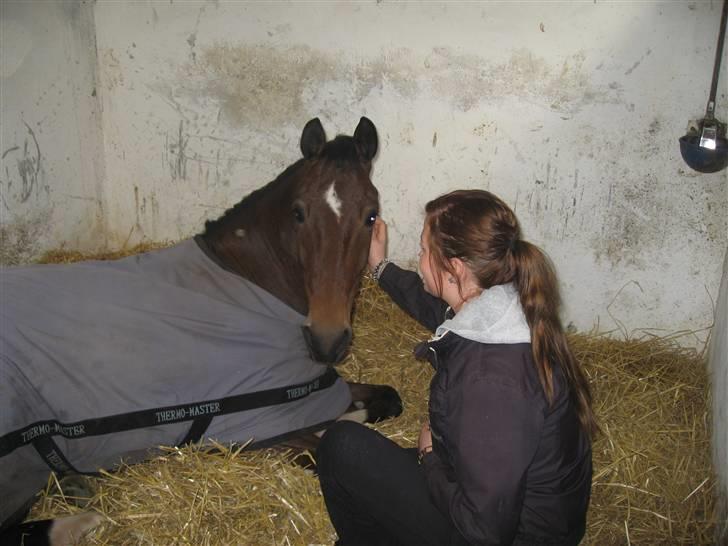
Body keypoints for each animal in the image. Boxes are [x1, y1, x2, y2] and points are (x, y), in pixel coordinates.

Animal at [0, 117, 404, 540]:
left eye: (371, 216)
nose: (327, 340)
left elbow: (387, 399)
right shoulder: (259, 425)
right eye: (298, 213)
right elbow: (325, 446)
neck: (253, 283)